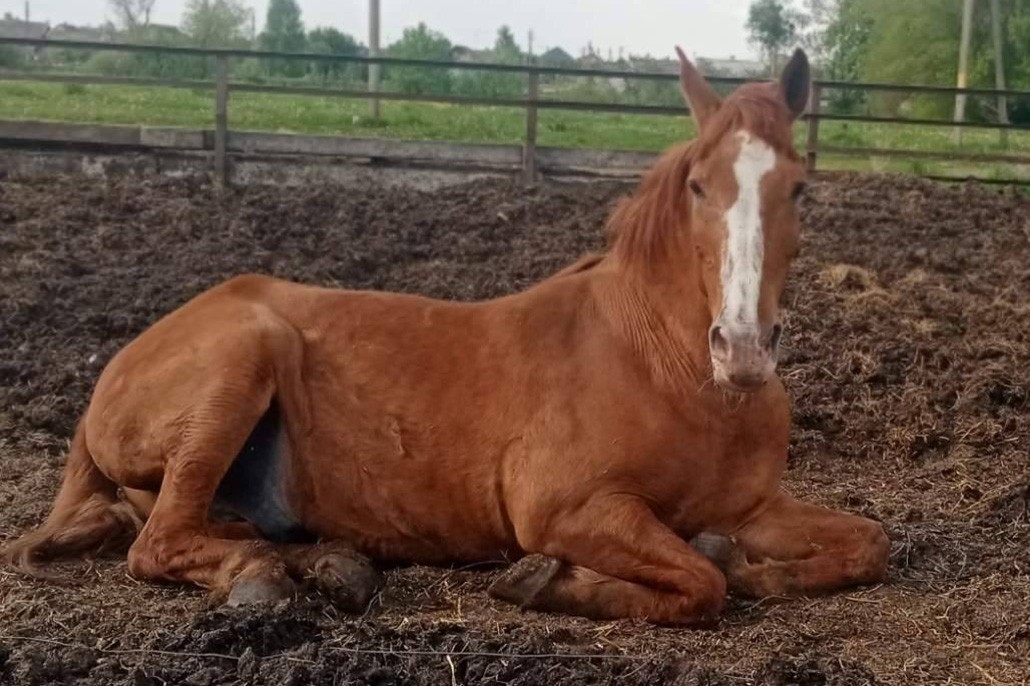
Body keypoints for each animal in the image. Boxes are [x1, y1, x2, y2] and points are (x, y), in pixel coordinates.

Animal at [1, 47, 889, 625]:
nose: (742, 348)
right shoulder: (568, 510)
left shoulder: (753, 505)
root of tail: (113, 374)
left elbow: (865, 545)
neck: (670, 370)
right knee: (159, 546)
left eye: (799, 188)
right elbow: (700, 585)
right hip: (241, 360)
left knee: (201, 532)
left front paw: (746, 561)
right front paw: (550, 584)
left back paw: (332, 565)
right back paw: (267, 578)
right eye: (700, 186)